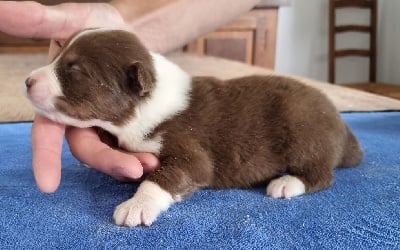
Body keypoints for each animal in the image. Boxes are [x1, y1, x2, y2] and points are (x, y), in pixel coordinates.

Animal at [24, 28, 362, 228]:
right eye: (58, 55)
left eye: (75, 70)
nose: (27, 81)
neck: (147, 101)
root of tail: (344, 130)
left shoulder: (190, 153)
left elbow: (165, 177)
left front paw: (136, 206)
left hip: (304, 131)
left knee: (322, 174)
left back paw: (287, 184)